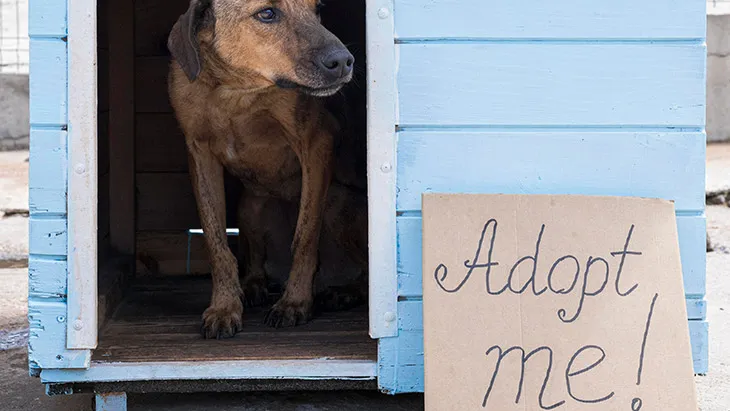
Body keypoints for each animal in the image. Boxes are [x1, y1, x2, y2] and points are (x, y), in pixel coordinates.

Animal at [168, 0, 366, 340]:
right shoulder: (199, 155)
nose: (344, 61)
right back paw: (253, 286)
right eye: (267, 13)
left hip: (337, 204)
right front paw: (225, 307)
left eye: (317, 9)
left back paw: (342, 292)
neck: (236, 90)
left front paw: (295, 303)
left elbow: (304, 237)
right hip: (250, 206)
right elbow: (217, 242)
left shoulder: (316, 142)